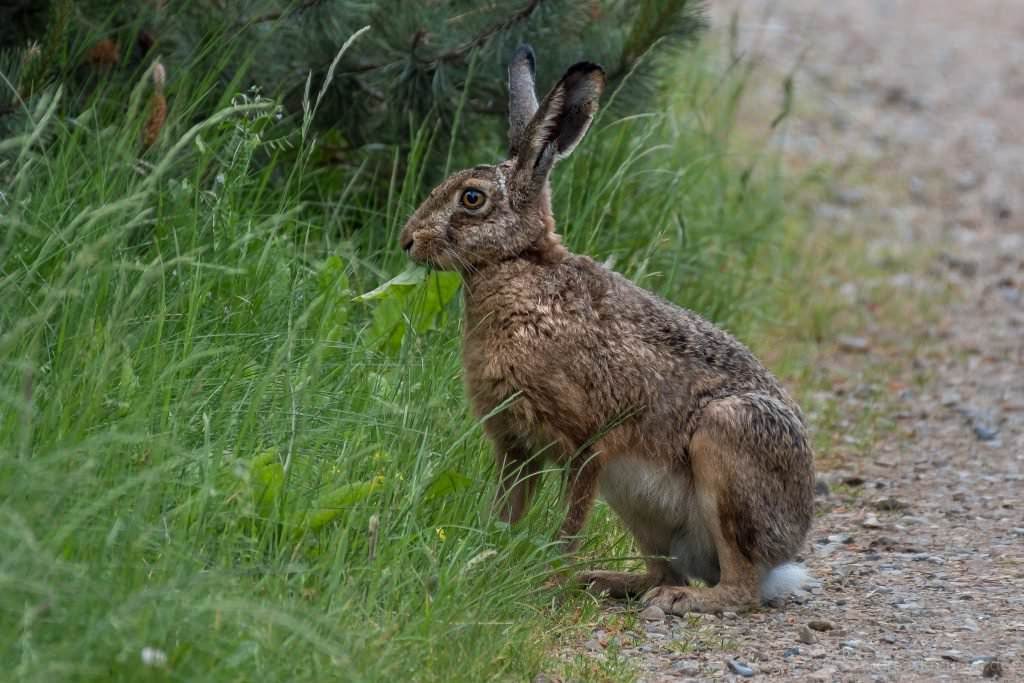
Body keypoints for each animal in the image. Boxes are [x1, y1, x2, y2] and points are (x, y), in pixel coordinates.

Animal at [398, 45, 815, 614]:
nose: (407, 240)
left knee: (741, 586)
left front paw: (544, 582)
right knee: (666, 568)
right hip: (637, 504)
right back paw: (607, 582)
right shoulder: (515, 448)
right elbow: (506, 513)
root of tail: (788, 548)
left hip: (727, 445)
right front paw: (484, 560)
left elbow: (568, 524)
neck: (520, 266)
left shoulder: (588, 443)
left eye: (472, 199)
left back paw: (681, 600)